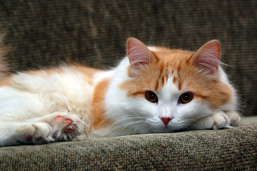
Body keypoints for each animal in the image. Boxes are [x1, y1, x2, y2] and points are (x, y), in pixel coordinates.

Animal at [0, 37, 240, 146]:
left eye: (186, 97)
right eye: (150, 96)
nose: (165, 118)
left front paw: (231, 115)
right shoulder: (116, 124)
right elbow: (165, 125)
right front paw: (216, 118)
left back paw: (61, 124)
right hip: (34, 101)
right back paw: (36, 129)